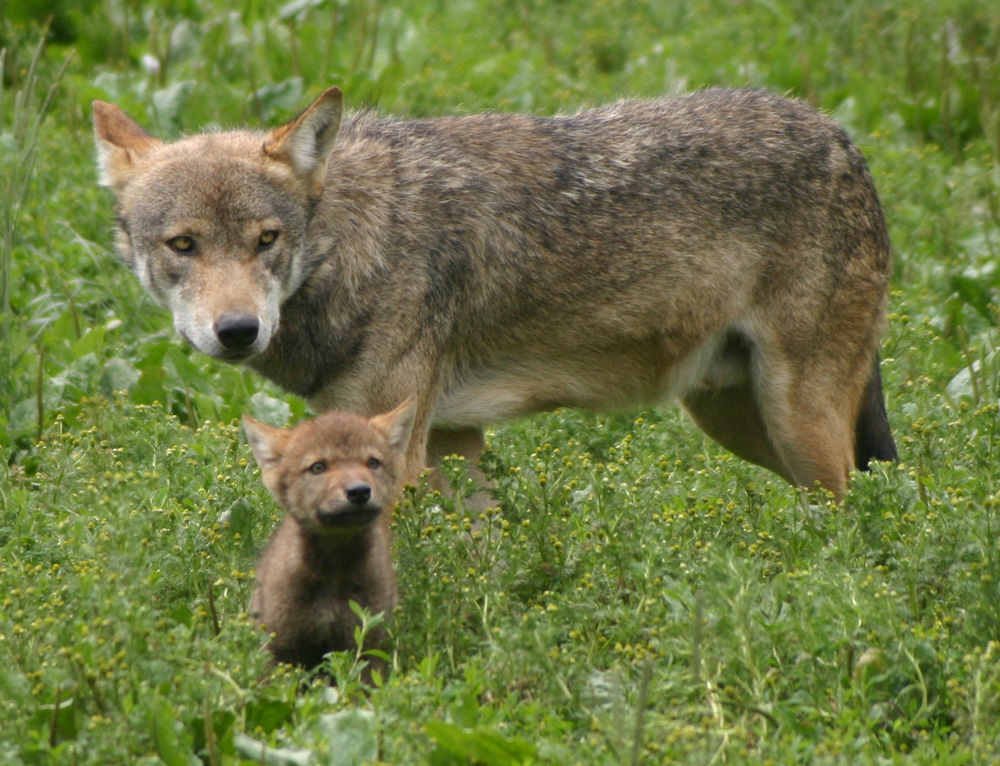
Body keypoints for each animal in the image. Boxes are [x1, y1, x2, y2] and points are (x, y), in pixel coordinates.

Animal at [90, 87, 896, 500]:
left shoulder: (398, 453)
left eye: (266, 240)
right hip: (736, 418)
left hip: (798, 420)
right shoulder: (451, 441)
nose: (237, 330)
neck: (355, 243)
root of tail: (842, 136)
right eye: (184, 245)